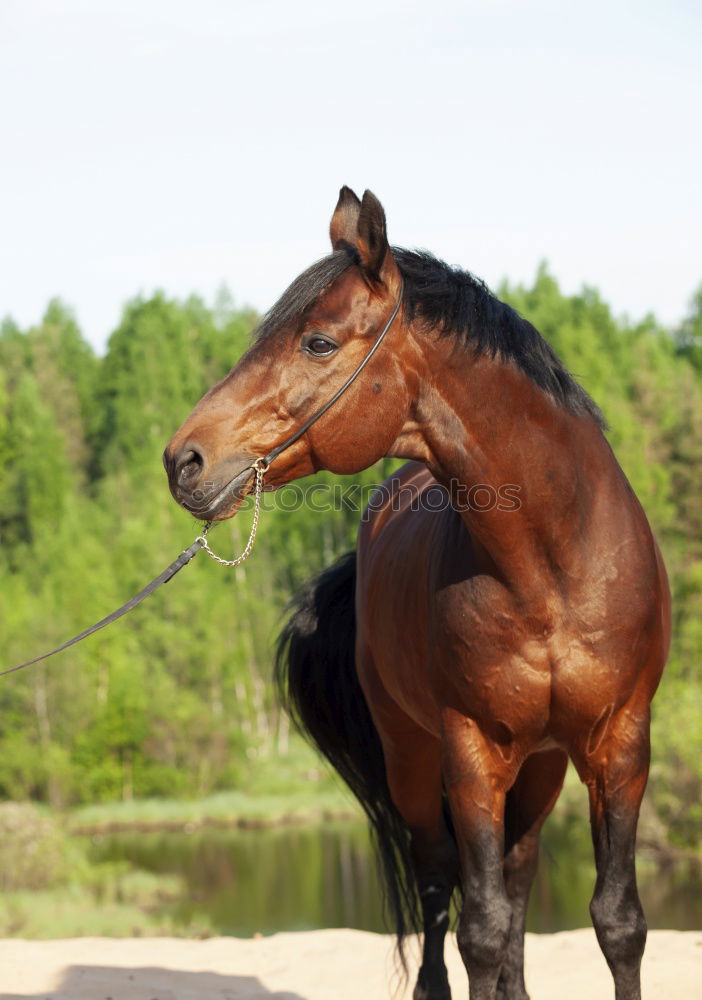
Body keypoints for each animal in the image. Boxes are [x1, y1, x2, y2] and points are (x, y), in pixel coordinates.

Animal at [165, 189, 672, 1000]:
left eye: (317, 342)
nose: (183, 460)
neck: (555, 568)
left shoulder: (621, 742)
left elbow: (617, 920)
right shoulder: (470, 750)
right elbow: (480, 929)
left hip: (542, 765)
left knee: (519, 874)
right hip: (414, 756)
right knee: (439, 884)